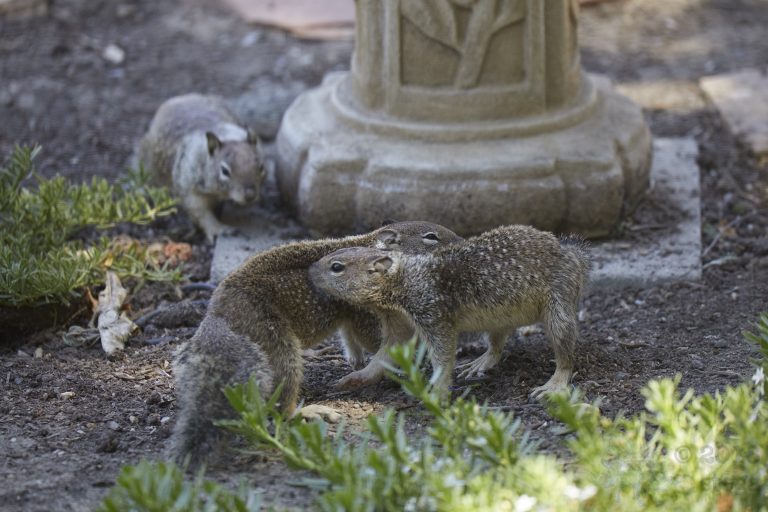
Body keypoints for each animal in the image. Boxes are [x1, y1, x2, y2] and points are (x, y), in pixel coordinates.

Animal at [137, 93, 265, 242]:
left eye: (261, 167)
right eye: (224, 171)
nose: (250, 195)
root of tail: (181, 98)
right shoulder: (189, 188)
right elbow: (201, 213)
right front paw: (220, 229)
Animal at [169, 221, 462, 465]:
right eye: (431, 236)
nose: (460, 241)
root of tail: (217, 315)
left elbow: (350, 337)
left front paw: (356, 359)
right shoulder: (365, 311)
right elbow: (378, 342)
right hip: (278, 343)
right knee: (282, 407)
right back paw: (308, 411)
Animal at [308, 225, 591, 400]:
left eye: (336, 267)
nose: (309, 272)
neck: (403, 279)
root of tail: (570, 251)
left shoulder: (432, 314)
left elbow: (442, 356)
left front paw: (437, 392)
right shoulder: (399, 323)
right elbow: (384, 355)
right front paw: (355, 377)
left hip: (559, 306)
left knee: (566, 356)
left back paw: (554, 384)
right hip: (499, 321)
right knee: (497, 345)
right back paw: (480, 362)